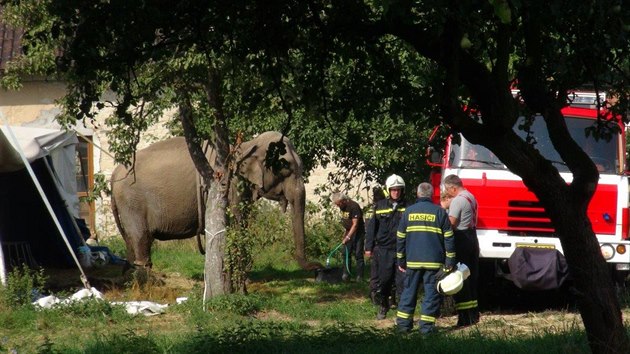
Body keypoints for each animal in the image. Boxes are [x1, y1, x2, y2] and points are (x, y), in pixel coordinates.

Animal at [109, 131, 324, 270]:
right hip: (132, 203)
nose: (318, 267)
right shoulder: (230, 186)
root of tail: (114, 174)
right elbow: (236, 223)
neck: (247, 146)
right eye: (285, 168)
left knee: (131, 243)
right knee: (141, 239)